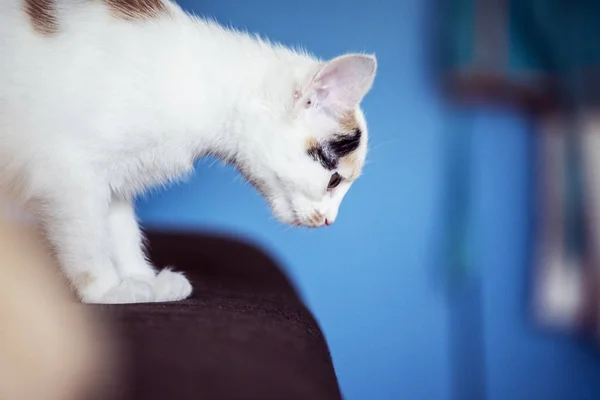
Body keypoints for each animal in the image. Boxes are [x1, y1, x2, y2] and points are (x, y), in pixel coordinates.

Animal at [0, 0, 376, 304]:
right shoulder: (66, 172)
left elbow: (120, 228)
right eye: (334, 180)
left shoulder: (116, 177)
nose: (329, 221)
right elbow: (88, 237)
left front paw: (142, 278)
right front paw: (107, 290)